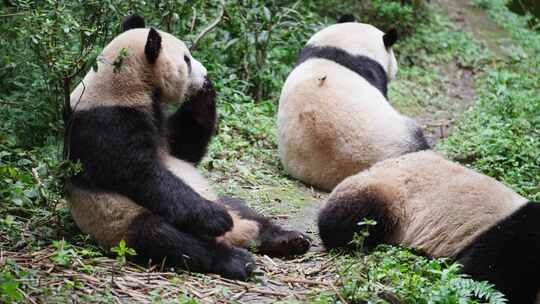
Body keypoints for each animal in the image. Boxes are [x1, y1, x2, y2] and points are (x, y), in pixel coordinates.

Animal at [63, 14, 310, 280]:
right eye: (187, 60)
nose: (204, 73)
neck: (121, 84)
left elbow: (185, 149)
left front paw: (206, 91)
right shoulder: (106, 124)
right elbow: (141, 175)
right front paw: (215, 218)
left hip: (219, 198)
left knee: (242, 208)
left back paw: (285, 239)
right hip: (119, 222)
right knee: (167, 238)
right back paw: (237, 258)